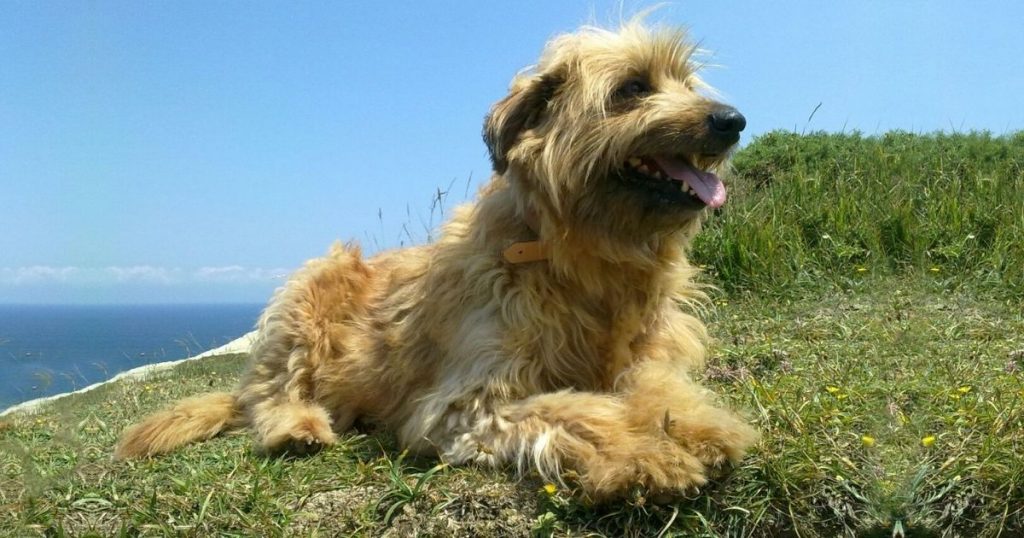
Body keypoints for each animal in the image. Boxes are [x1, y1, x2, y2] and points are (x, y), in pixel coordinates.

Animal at [119, 19, 761, 500]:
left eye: (686, 82)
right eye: (631, 88)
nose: (732, 121)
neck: (575, 251)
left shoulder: (646, 350)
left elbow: (655, 387)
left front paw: (701, 426)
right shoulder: (466, 402)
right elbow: (578, 410)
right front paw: (642, 455)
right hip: (311, 289)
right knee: (269, 395)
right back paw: (298, 427)